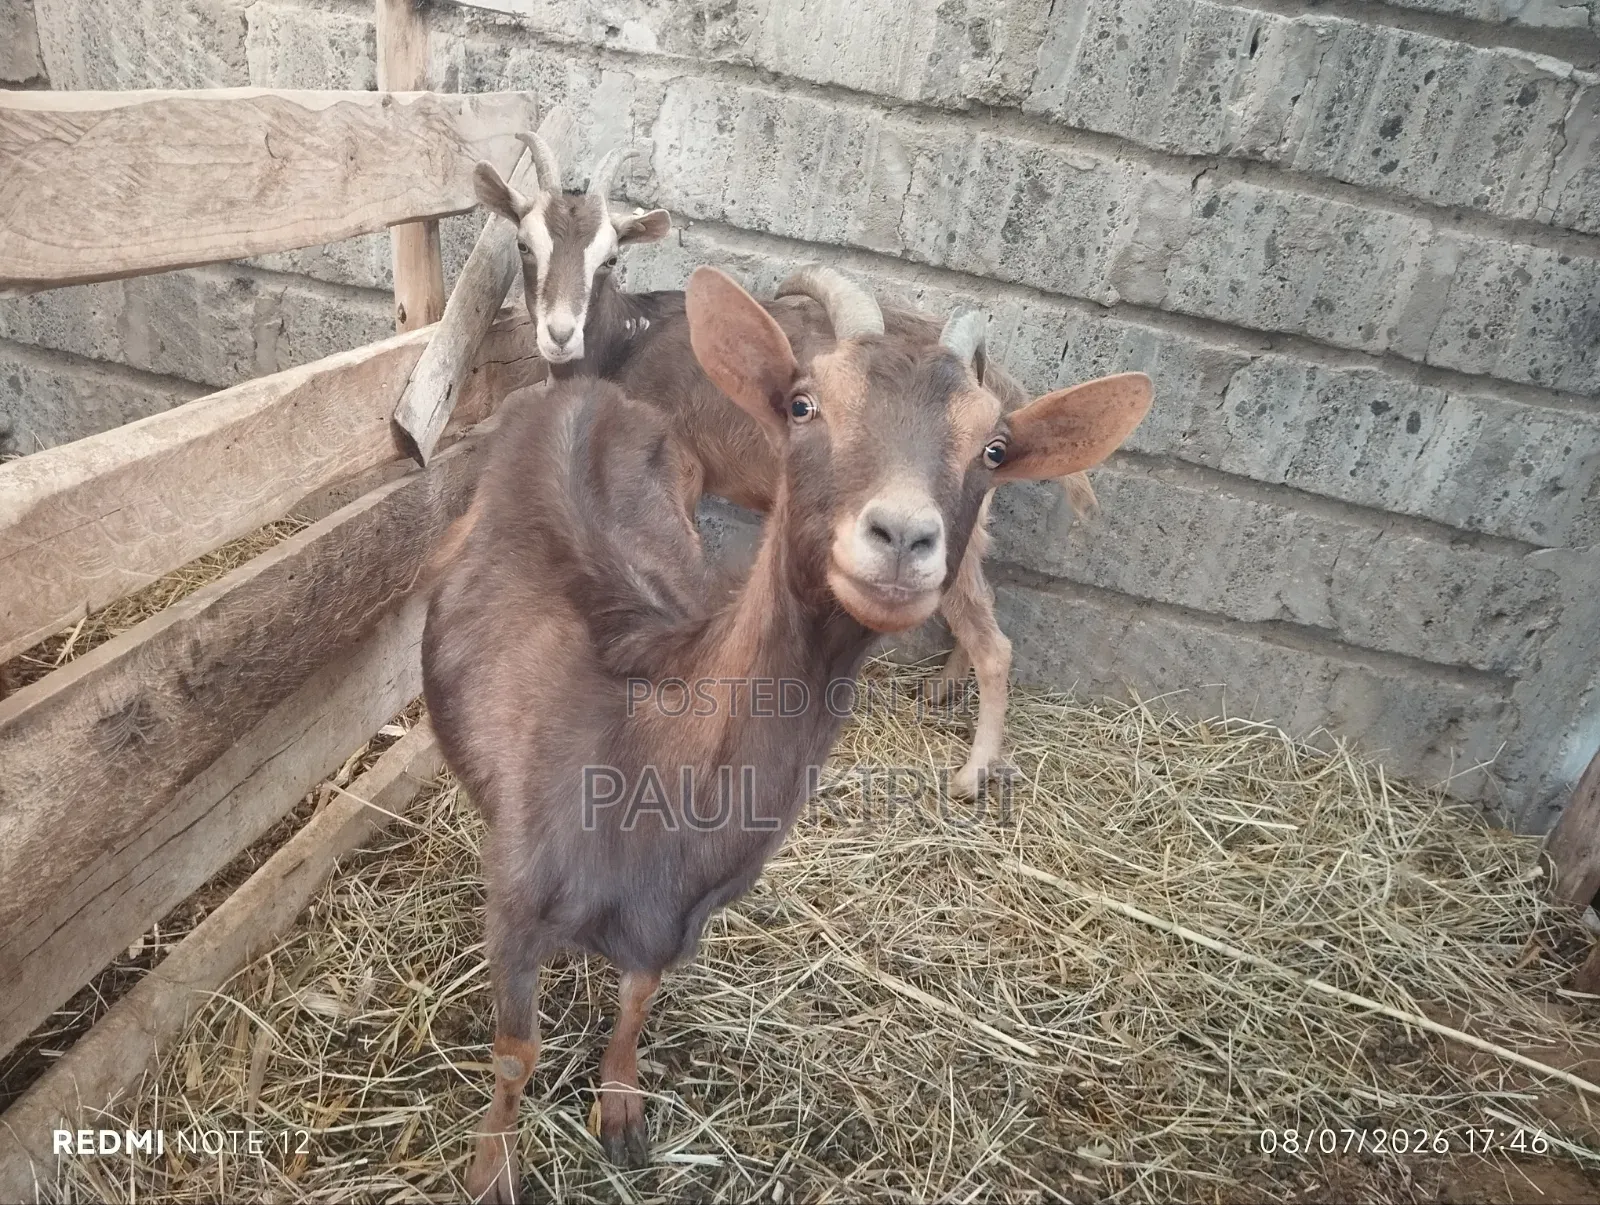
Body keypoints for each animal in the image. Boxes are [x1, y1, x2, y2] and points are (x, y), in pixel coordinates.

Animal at [422, 263, 1151, 1199]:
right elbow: (517, 1051)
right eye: (805, 403)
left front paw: (620, 1113)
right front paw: (490, 1171)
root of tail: (583, 391)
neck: (645, 753)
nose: (902, 535)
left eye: (994, 447)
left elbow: (637, 999)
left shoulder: (683, 915)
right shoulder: (516, 907)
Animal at [473, 137, 1097, 797]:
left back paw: (972, 773)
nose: (559, 334)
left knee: (996, 645)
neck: (630, 341)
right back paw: (942, 687)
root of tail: (995, 394)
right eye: (524, 244)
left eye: (610, 258)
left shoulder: (680, 465)